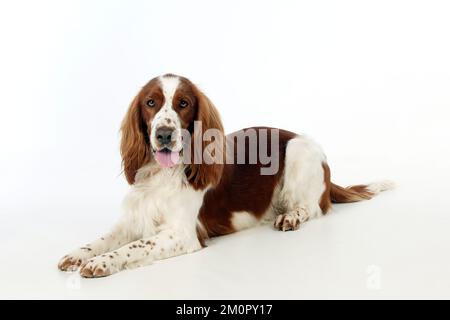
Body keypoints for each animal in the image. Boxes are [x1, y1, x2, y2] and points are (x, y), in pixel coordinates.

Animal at [58, 73, 392, 278]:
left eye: (183, 103)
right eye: (150, 103)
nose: (164, 134)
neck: (162, 176)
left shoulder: (183, 234)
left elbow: (134, 246)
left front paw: (101, 262)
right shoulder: (131, 220)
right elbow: (104, 238)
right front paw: (79, 254)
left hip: (298, 151)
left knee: (314, 208)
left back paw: (290, 217)